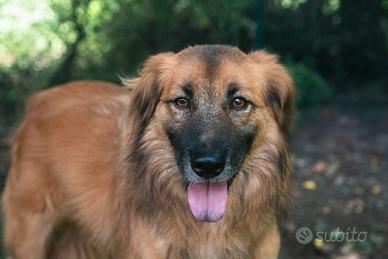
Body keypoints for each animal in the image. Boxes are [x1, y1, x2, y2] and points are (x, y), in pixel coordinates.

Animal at [2, 45, 294, 258]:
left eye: (238, 102)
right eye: (181, 101)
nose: (207, 166)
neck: (208, 229)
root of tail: (39, 99)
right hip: (31, 234)